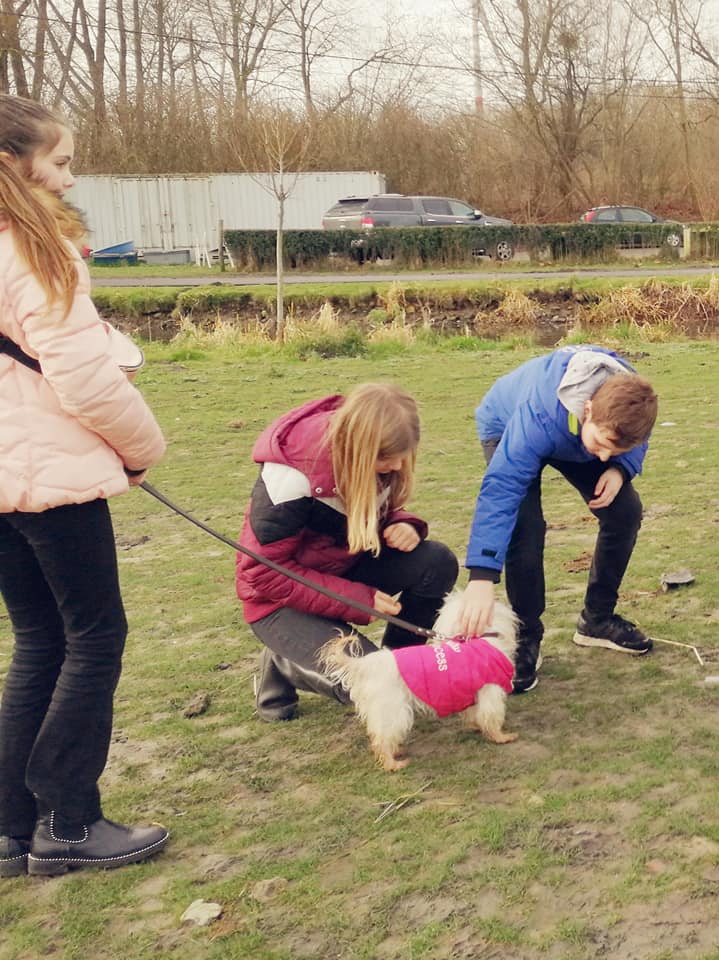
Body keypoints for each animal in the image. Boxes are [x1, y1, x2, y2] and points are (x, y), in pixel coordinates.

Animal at [319, 590, 519, 771]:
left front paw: (475, 727)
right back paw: (393, 763)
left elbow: (472, 713)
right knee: (382, 740)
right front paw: (502, 737)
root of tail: (367, 665)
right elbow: (491, 717)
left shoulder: (469, 692)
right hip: (393, 709)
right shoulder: (490, 691)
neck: (483, 639)